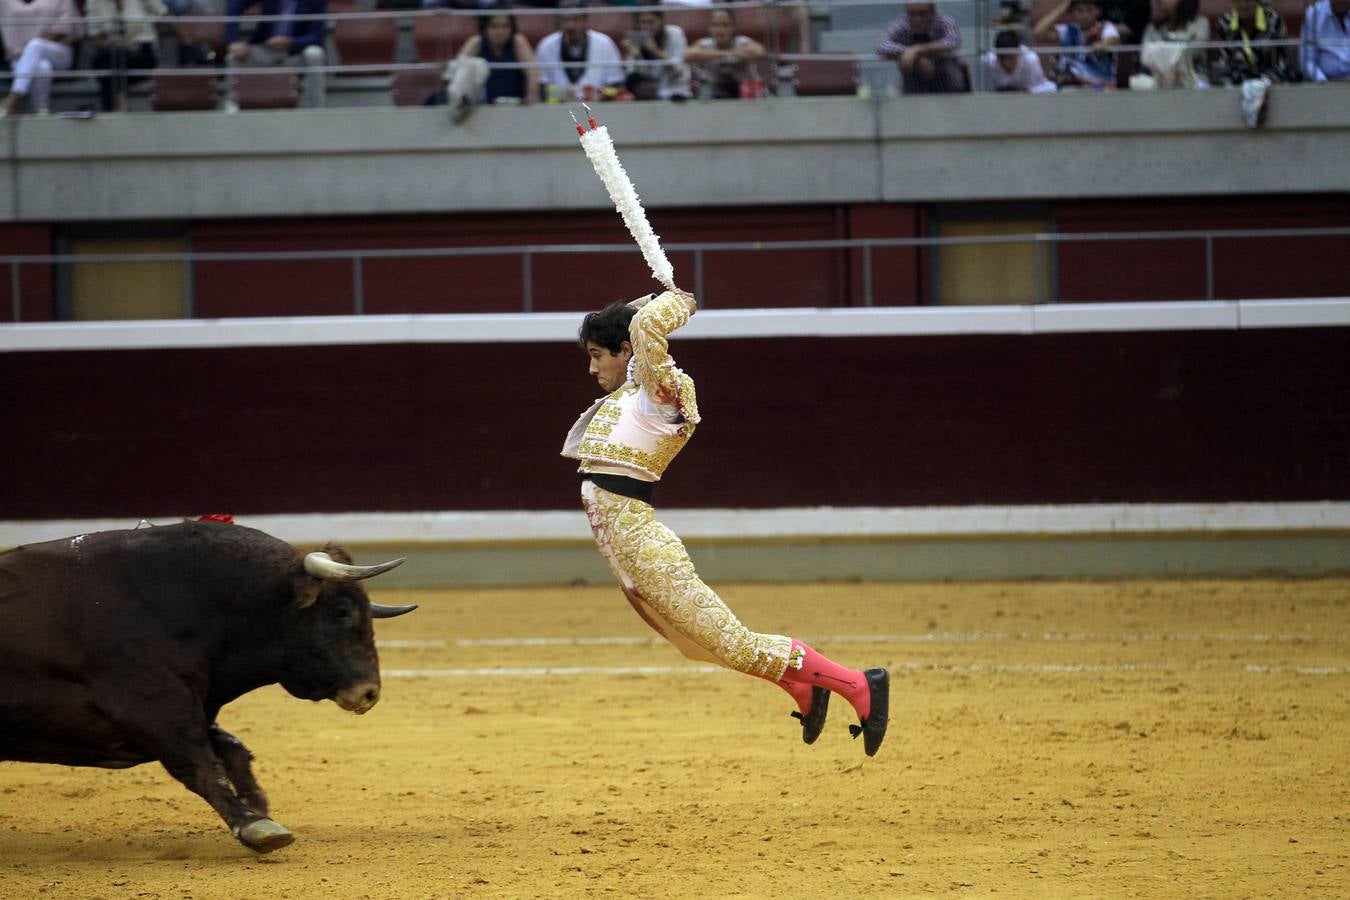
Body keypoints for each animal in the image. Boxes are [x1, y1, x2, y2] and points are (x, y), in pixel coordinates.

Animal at [0, 520, 415, 852]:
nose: (369, 692)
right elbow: (200, 763)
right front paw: (256, 826)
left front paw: (256, 804)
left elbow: (231, 749)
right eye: (342, 611)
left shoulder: (192, 704)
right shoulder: (155, 705)